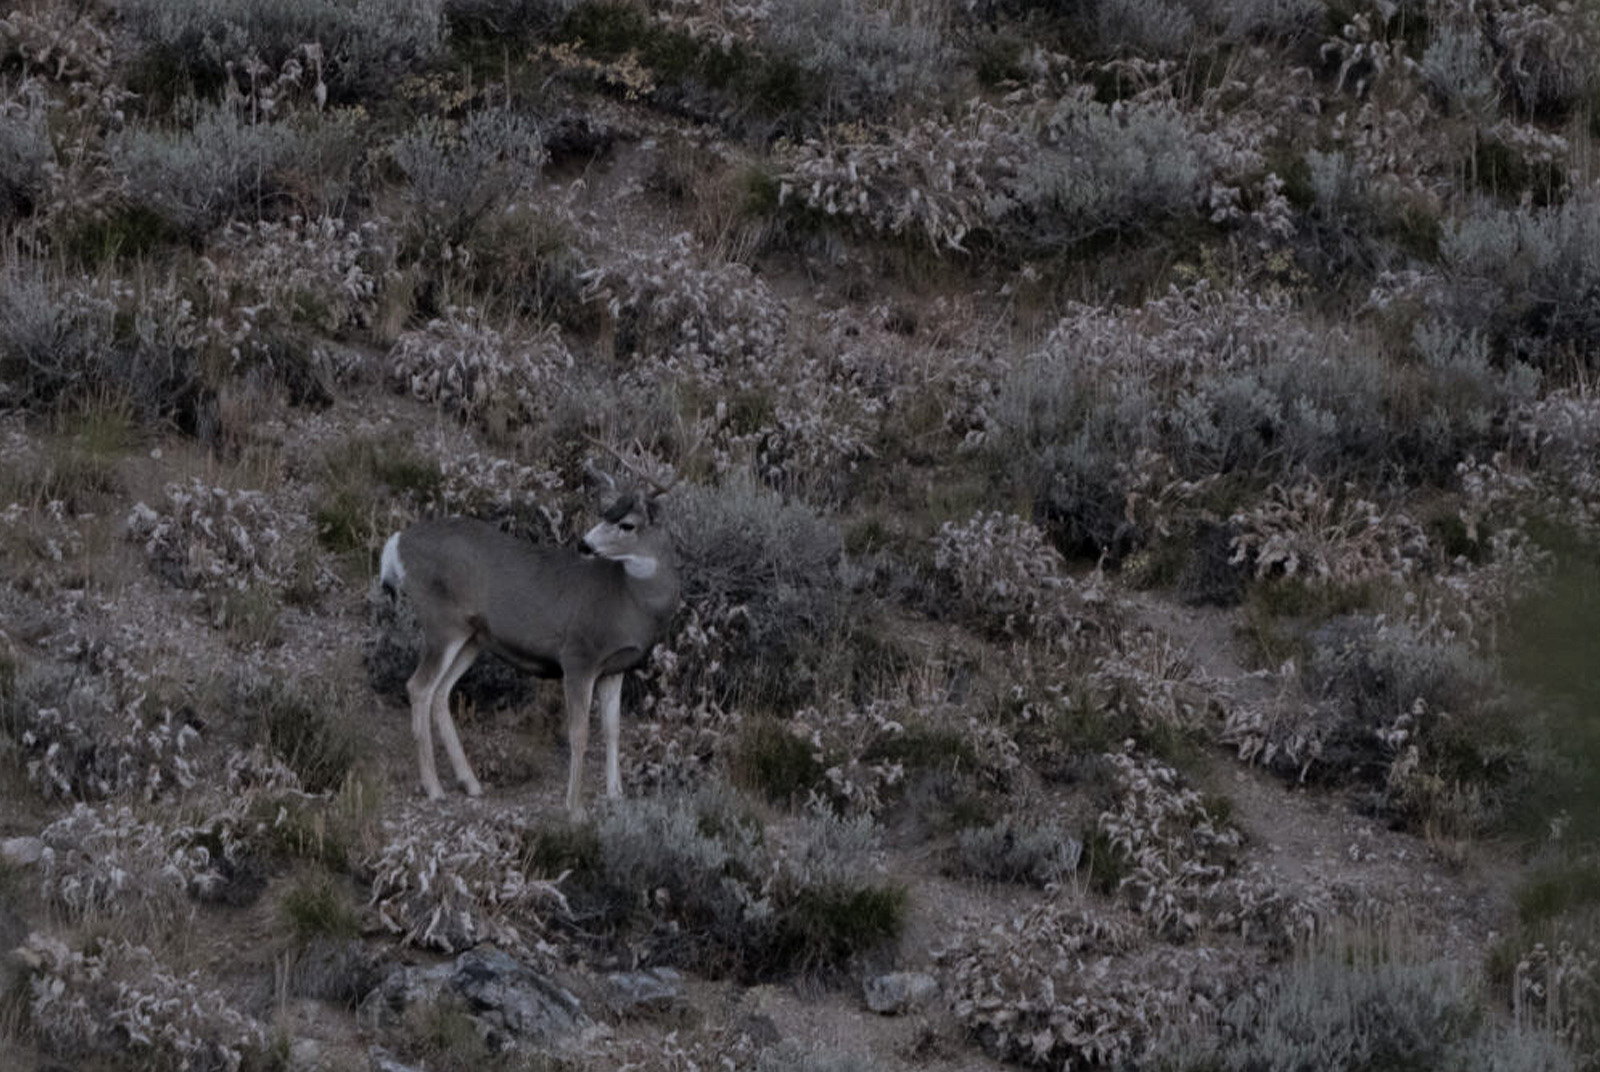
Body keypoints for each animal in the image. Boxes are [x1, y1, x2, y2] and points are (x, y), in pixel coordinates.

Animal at [382, 480, 681, 816]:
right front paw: (575, 808)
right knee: (419, 686)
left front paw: (616, 796)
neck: (628, 599)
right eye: (606, 513)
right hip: (442, 623)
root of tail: (397, 543)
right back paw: (434, 788)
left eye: (626, 524)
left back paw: (470, 783)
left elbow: (613, 729)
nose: (584, 544)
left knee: (441, 692)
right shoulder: (578, 656)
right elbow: (579, 733)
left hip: (471, 638)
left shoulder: (614, 667)